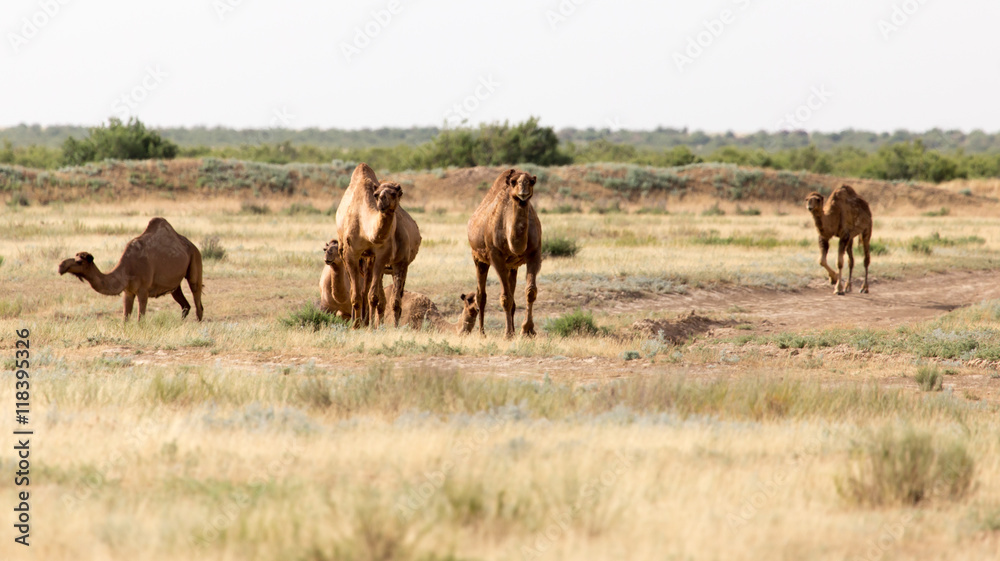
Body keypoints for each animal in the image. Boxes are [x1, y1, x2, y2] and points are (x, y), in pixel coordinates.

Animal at [58, 217, 204, 321]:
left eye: (79, 261)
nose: (60, 266)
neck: (127, 269)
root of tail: (192, 245)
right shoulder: (127, 291)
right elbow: (125, 319)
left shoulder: (143, 290)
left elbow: (141, 319)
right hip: (174, 284)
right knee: (185, 305)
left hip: (195, 259)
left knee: (197, 297)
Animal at [335, 163, 400, 328]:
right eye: (376, 194)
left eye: (397, 192)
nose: (383, 202)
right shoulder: (351, 253)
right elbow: (355, 294)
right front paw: (355, 326)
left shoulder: (381, 255)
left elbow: (373, 295)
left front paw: (371, 327)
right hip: (343, 250)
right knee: (355, 288)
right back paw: (357, 320)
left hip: (369, 257)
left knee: (366, 287)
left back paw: (366, 321)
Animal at [467, 169, 542, 337]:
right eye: (514, 182)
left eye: (531, 181)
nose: (523, 191)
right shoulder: (496, 256)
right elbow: (505, 297)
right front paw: (507, 334)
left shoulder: (535, 253)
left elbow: (530, 292)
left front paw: (527, 330)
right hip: (478, 258)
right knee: (481, 295)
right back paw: (482, 333)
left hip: (512, 266)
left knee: (512, 295)